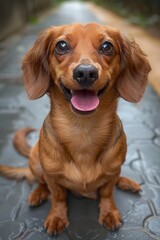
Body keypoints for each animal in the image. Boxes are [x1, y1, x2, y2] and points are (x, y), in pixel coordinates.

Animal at [0, 23, 151, 234]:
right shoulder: (52, 178)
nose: (86, 73)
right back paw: (38, 194)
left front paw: (109, 212)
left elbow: (107, 193)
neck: (83, 131)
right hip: (36, 163)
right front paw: (57, 216)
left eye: (107, 46)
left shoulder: (112, 173)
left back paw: (126, 182)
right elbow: (58, 196)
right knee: (39, 181)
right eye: (61, 45)